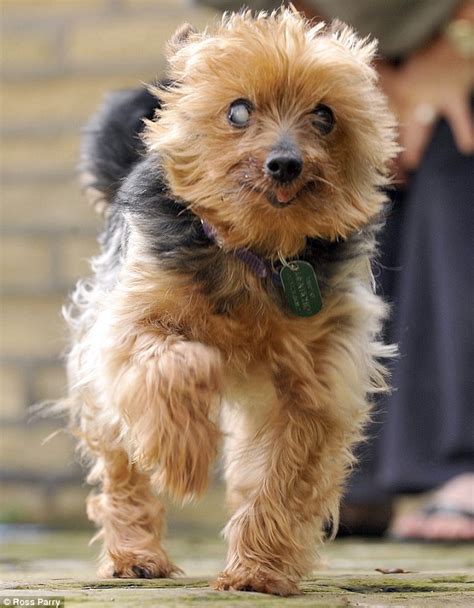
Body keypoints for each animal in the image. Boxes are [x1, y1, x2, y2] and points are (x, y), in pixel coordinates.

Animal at [63, 8, 396, 600]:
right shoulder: (129, 325)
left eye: (325, 116)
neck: (258, 251)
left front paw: (259, 570)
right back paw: (135, 556)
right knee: (122, 469)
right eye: (238, 110)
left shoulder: (316, 383)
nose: (285, 164)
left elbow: (286, 473)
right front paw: (183, 457)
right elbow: (172, 362)